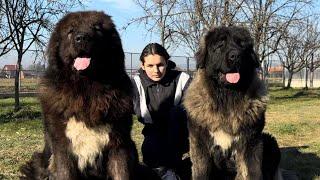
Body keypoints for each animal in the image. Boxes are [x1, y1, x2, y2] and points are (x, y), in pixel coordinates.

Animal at [184, 26, 282, 180]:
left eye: (242, 45)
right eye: (220, 45)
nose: (235, 56)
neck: (227, 100)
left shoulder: (251, 142)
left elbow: (251, 171)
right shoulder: (199, 143)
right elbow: (201, 172)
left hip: (269, 141)